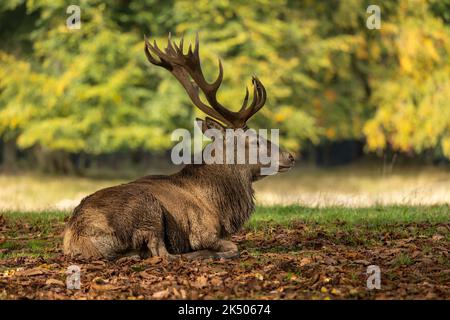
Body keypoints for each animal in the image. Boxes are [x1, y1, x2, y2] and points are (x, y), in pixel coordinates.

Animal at [63, 33, 296, 262]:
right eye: (255, 140)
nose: (290, 156)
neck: (220, 208)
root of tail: (78, 239)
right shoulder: (203, 231)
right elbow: (233, 246)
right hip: (148, 210)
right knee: (162, 254)